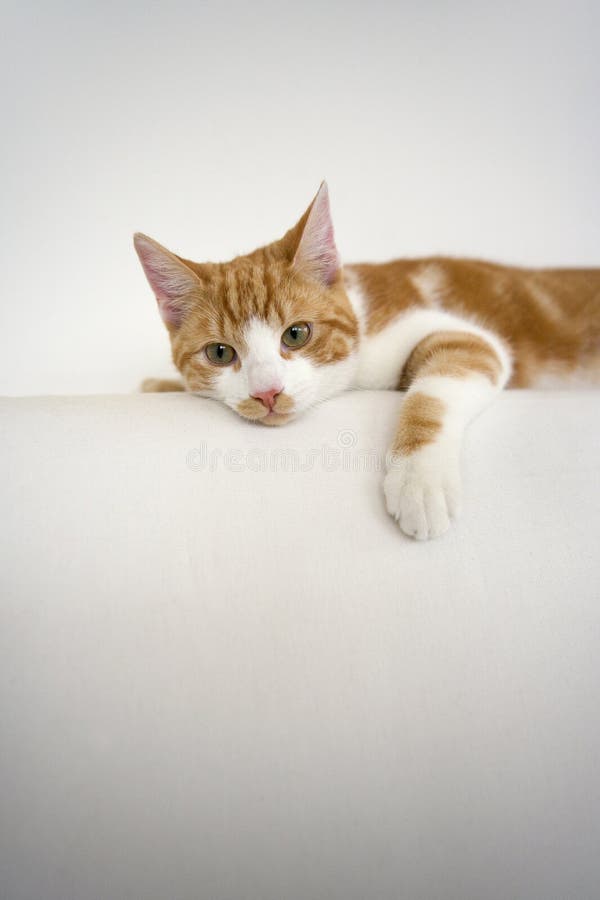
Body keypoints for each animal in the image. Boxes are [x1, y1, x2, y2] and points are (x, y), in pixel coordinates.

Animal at [134, 179, 596, 536]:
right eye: (219, 352)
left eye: (296, 334)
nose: (267, 393)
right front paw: (160, 386)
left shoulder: (467, 336)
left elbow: (440, 384)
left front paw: (419, 479)